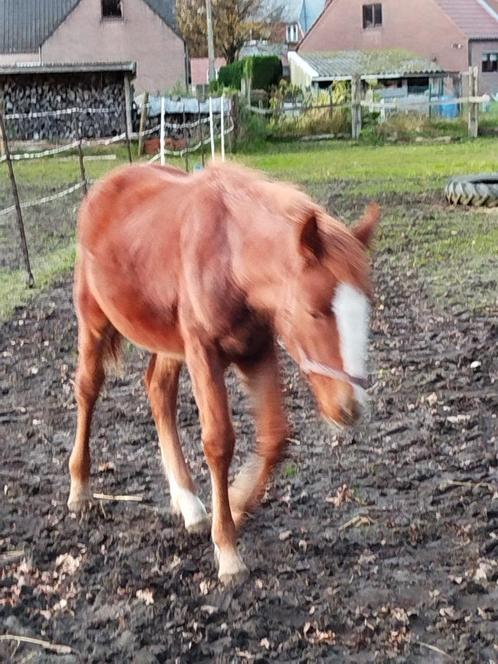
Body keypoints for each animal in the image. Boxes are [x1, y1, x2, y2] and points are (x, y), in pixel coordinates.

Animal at [69, 162, 382, 588]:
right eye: (314, 310)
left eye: (366, 307)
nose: (349, 407)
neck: (230, 259)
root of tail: (106, 185)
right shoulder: (204, 353)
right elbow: (218, 442)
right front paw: (228, 550)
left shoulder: (258, 350)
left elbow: (275, 436)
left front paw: (233, 502)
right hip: (95, 319)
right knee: (88, 388)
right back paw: (80, 488)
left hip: (170, 342)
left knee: (159, 392)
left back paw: (189, 503)